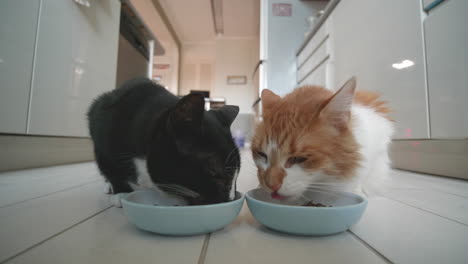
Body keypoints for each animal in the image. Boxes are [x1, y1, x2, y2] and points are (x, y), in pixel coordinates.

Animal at [88, 77, 241, 205]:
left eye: (237, 173)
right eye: (214, 172)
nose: (230, 199)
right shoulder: (100, 126)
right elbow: (110, 168)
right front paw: (120, 192)